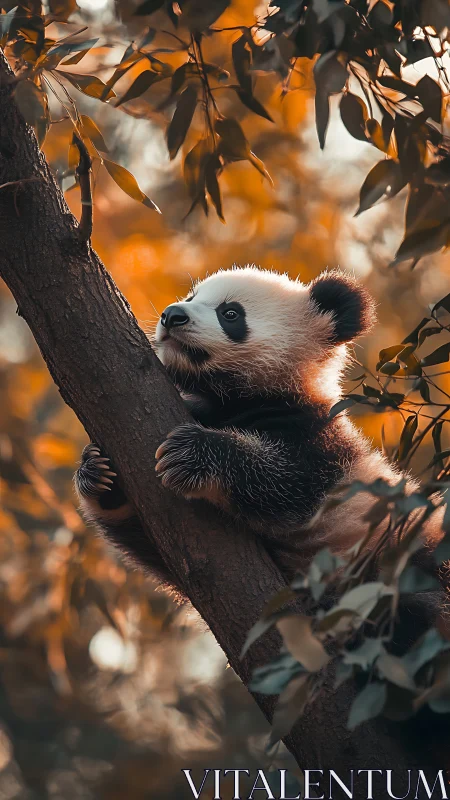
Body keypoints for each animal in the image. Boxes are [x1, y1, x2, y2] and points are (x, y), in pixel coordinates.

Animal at [74, 266, 444, 608]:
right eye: (192, 297)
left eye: (231, 313)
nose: (172, 315)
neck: (242, 396)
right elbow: (153, 543)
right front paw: (98, 473)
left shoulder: (320, 440)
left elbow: (289, 485)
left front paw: (190, 454)